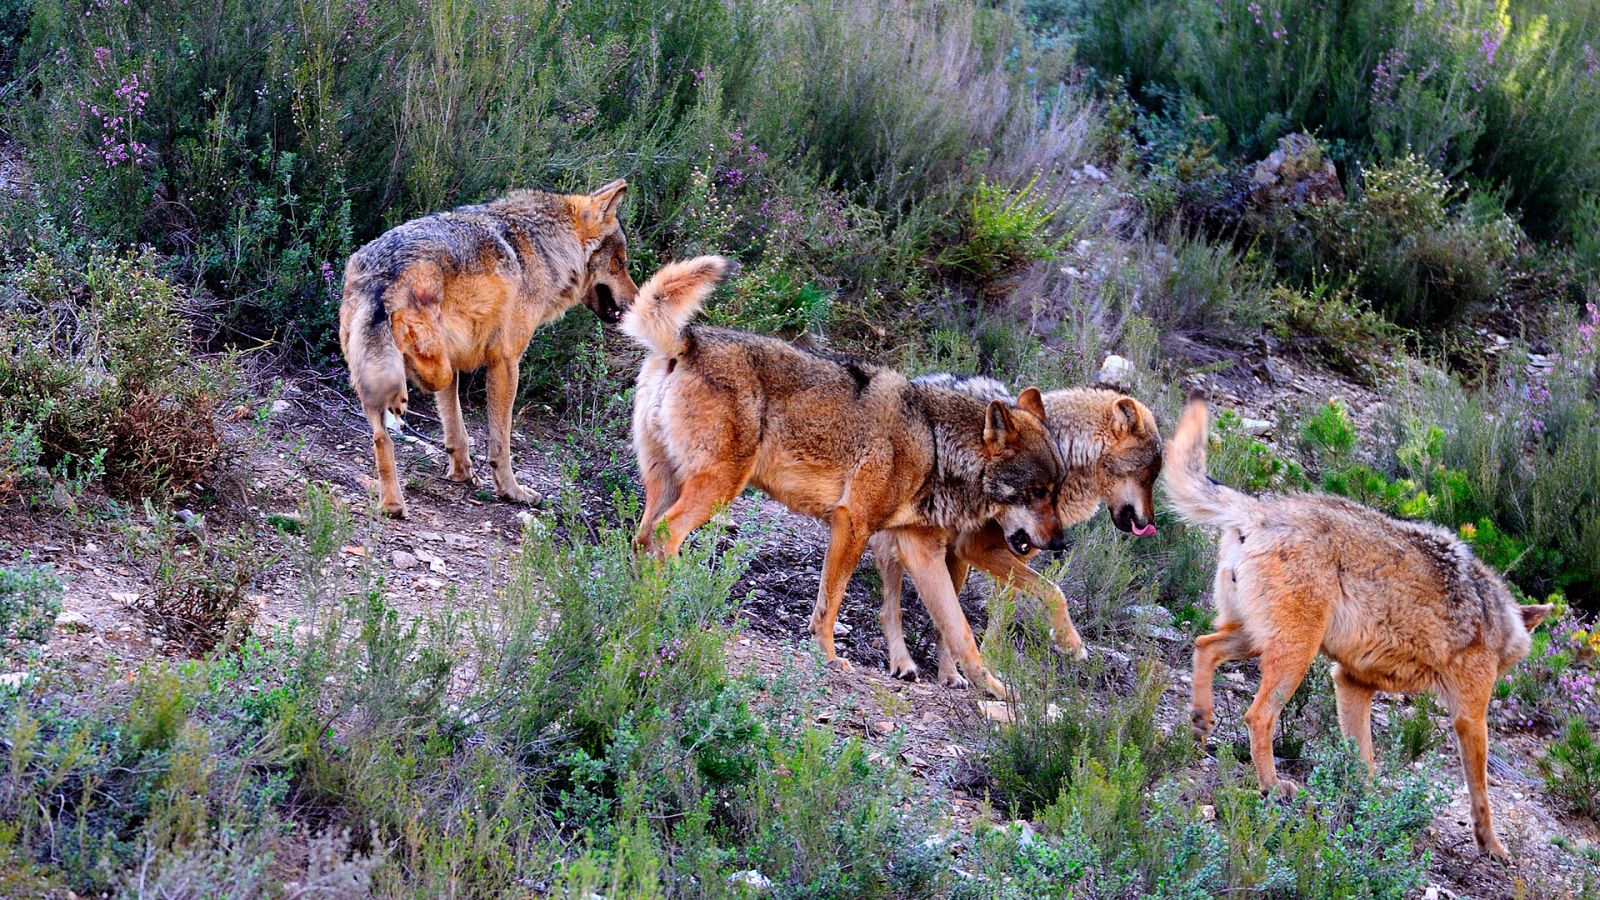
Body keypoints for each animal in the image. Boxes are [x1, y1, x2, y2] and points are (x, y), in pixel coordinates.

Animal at [340, 177, 640, 515]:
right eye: (620, 263)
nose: (636, 303)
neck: (546, 246)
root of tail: (384, 271)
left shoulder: (458, 360)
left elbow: (456, 431)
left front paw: (462, 474)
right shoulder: (506, 362)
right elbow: (501, 443)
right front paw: (511, 491)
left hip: (385, 372)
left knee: (382, 438)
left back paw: (392, 504)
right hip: (431, 358)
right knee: (419, 376)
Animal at [630, 254, 1068, 695]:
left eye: (1056, 490)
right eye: (1036, 491)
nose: (1060, 544)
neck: (933, 443)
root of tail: (688, 341)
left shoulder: (921, 548)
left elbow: (959, 629)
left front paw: (991, 686)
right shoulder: (853, 523)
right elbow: (831, 600)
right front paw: (827, 656)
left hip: (667, 487)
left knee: (642, 538)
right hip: (718, 489)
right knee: (665, 535)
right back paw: (670, 600)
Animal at [864, 376, 1164, 679]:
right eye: (1147, 474)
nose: (1150, 524)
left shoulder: (1016, 554)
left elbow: (1003, 613)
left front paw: (995, 664)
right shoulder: (977, 549)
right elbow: (1055, 591)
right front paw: (1070, 644)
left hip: (953, 561)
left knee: (943, 617)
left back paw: (951, 676)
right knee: (891, 609)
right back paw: (904, 664)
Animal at [1164, 393, 1548, 864]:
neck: (1495, 616)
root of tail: (1258, 510)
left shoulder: (1351, 683)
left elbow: (1362, 762)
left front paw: (1368, 811)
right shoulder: (1469, 715)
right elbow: (1480, 793)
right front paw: (1491, 845)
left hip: (1256, 641)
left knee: (1204, 645)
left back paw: (1200, 724)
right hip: (1294, 656)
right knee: (1257, 715)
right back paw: (1272, 786)